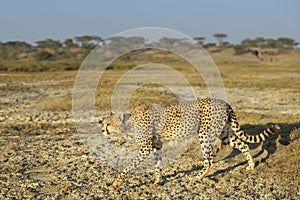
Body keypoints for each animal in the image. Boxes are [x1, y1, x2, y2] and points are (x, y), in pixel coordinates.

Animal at [100, 98, 278, 188]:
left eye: (107, 124)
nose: (101, 129)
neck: (130, 121)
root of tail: (224, 102)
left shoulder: (145, 148)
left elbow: (128, 166)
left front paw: (116, 182)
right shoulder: (157, 145)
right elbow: (157, 164)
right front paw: (158, 180)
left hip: (205, 134)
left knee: (210, 160)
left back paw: (197, 177)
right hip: (223, 133)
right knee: (243, 144)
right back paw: (251, 165)